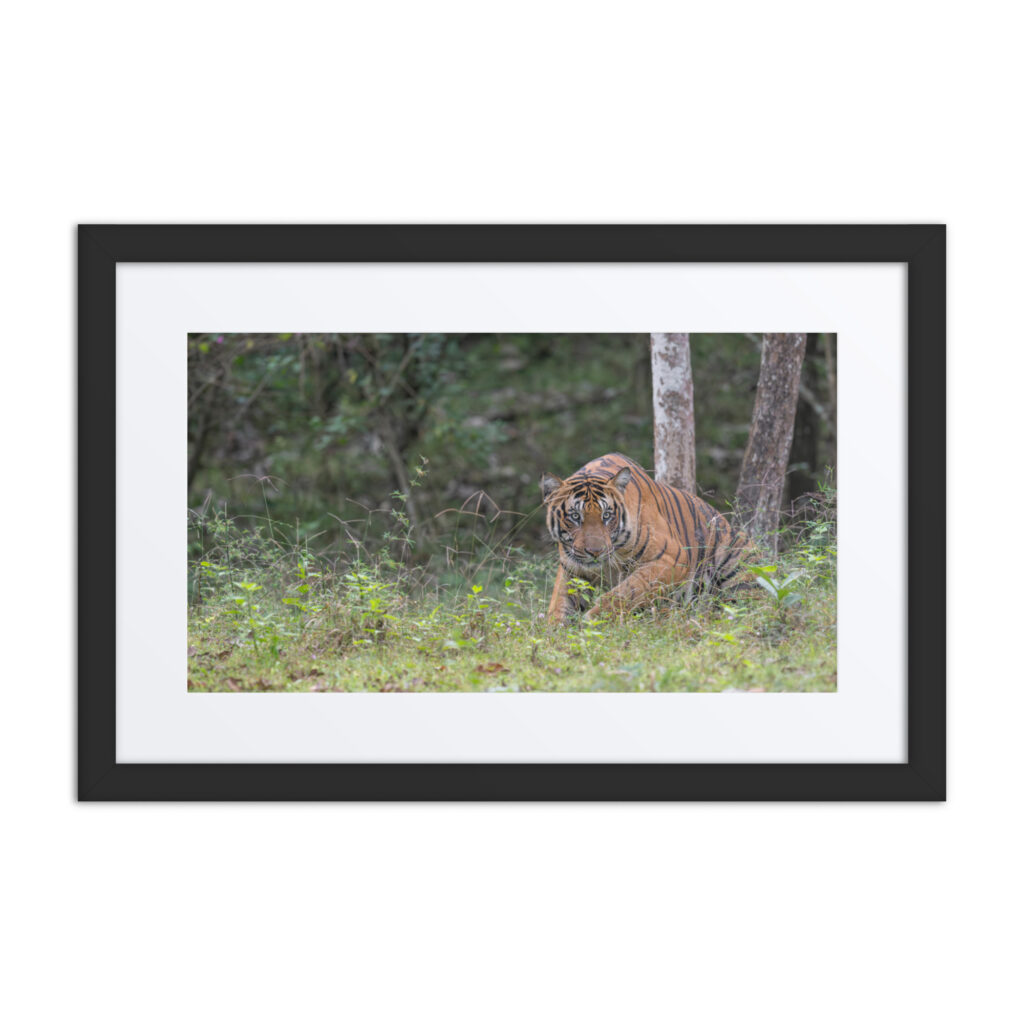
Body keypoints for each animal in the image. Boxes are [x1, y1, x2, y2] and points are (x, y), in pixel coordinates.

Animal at [540, 452, 758, 623]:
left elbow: (628, 591)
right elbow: (559, 606)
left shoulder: (672, 559)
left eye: (607, 515)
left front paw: (594, 619)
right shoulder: (571, 570)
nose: (595, 552)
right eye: (575, 517)